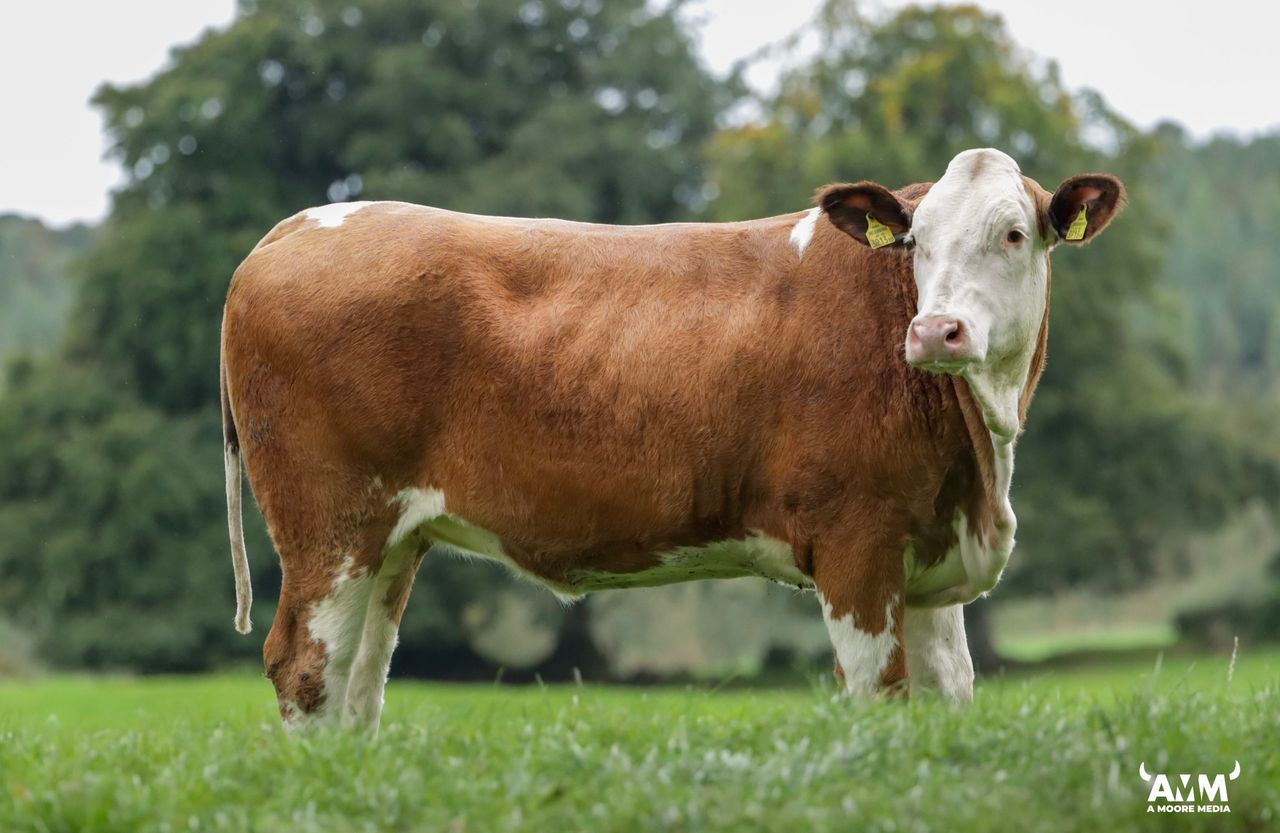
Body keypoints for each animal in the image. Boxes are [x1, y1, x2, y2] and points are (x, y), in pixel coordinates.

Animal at [220, 148, 1124, 729]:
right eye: (915, 242)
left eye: (1014, 233)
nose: (936, 331)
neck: (980, 457)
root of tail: (304, 223)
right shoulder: (856, 541)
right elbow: (880, 695)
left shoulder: (929, 556)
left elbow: (948, 696)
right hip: (329, 524)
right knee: (305, 665)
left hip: (391, 540)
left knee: (360, 681)